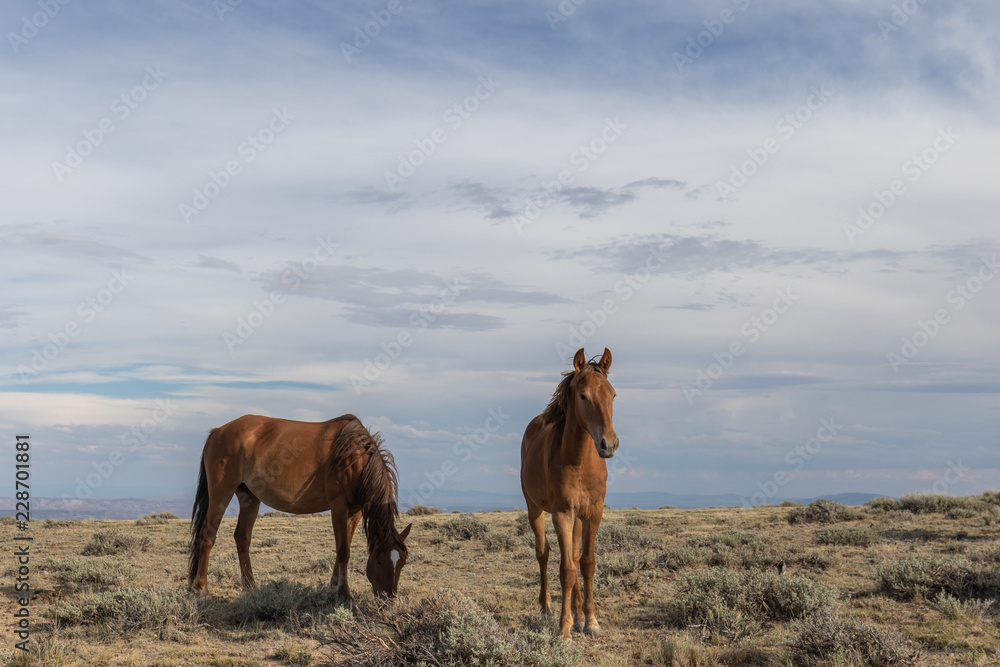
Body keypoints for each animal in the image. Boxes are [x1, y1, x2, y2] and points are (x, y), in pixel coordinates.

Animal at [188, 413, 411, 600]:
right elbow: (342, 551)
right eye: (380, 561)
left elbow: (344, 546)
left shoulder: (355, 511)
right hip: (221, 493)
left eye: (402, 561)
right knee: (207, 535)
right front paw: (343, 593)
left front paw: (333, 586)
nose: (388, 599)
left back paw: (250, 586)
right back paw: (201, 588)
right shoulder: (339, 507)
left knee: (242, 537)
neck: (353, 457)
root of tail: (218, 431)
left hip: (249, 497)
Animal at [520, 347, 619, 641]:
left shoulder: (593, 513)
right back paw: (546, 608)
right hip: (535, 509)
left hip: (577, 518)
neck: (579, 462)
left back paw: (577, 611)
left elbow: (585, 563)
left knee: (574, 555)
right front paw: (564, 628)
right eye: (583, 396)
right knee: (543, 553)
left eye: (612, 394)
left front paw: (590, 620)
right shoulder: (562, 513)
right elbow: (565, 569)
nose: (609, 444)